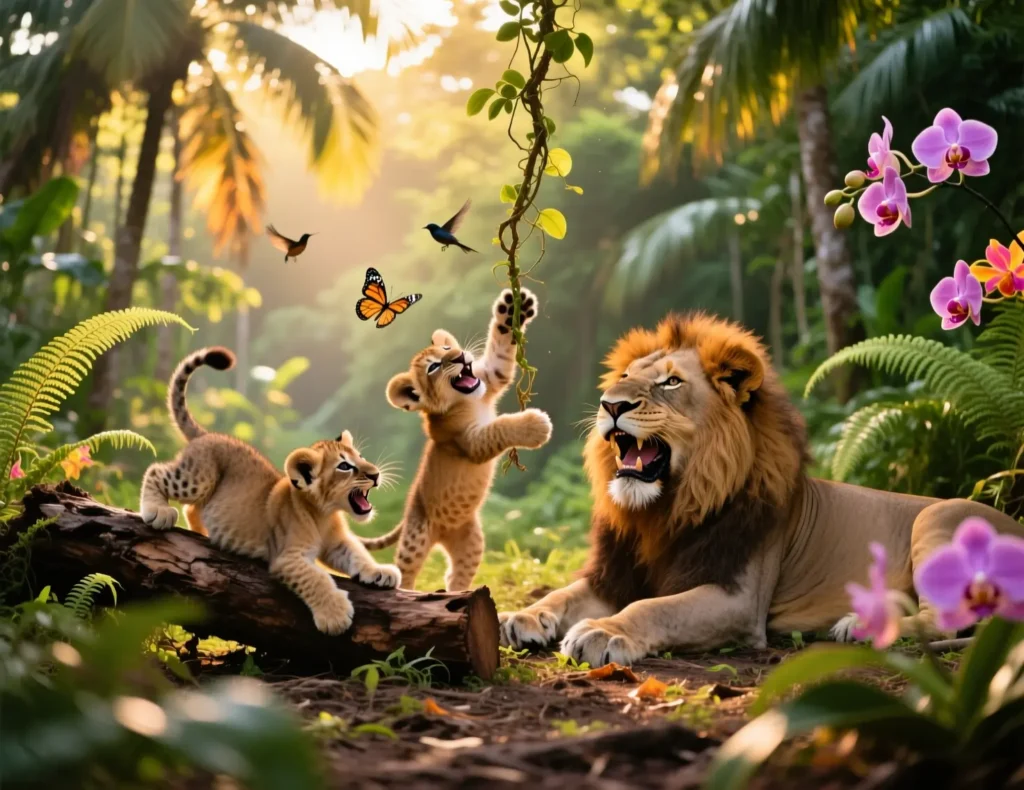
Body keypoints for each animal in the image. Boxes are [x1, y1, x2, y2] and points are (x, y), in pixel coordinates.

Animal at [498, 313, 1024, 666]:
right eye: (626, 377)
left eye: (671, 382)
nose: (610, 404)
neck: (666, 508)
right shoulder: (616, 573)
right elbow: (563, 594)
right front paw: (522, 617)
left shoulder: (740, 599)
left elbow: (653, 607)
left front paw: (604, 631)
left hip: (941, 516)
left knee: (949, 617)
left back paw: (857, 626)